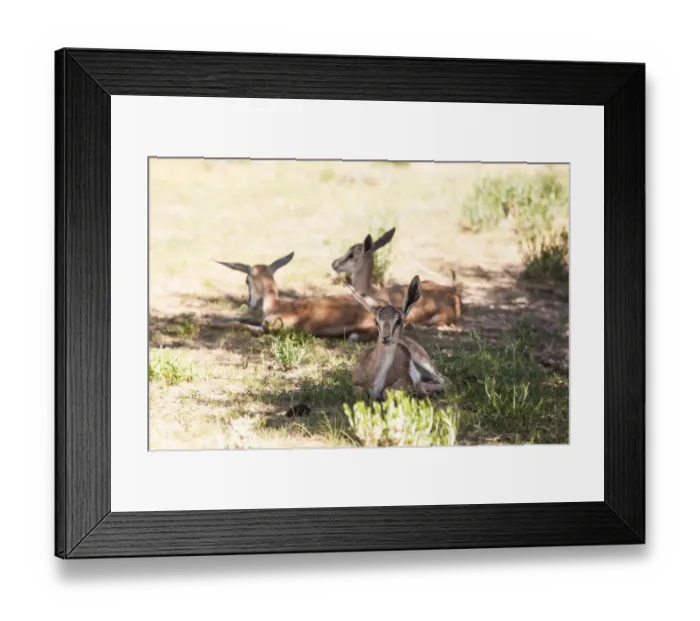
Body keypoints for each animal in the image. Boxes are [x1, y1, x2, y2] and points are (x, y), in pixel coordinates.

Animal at [215, 252, 377, 340]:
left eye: (246, 280)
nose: (250, 303)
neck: (275, 305)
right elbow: (243, 319)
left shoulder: (270, 327)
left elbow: (241, 324)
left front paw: (209, 322)